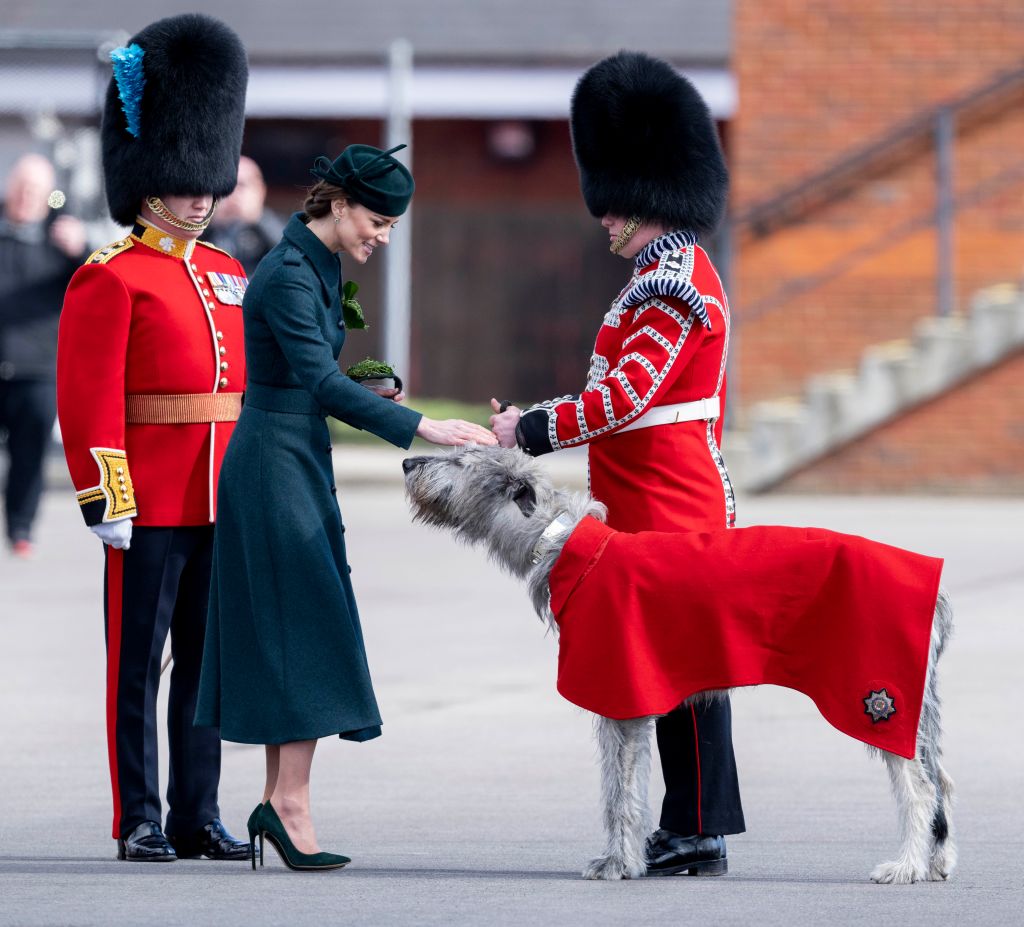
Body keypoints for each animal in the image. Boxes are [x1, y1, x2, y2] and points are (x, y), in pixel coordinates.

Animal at [401, 442, 958, 880]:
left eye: (461, 458)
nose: (407, 462)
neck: (561, 540)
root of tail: (937, 591)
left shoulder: (618, 693)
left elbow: (618, 791)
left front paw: (616, 864)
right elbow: (630, 785)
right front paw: (629, 860)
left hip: (877, 697)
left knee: (920, 788)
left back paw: (907, 866)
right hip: (914, 705)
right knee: (942, 782)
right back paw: (935, 863)